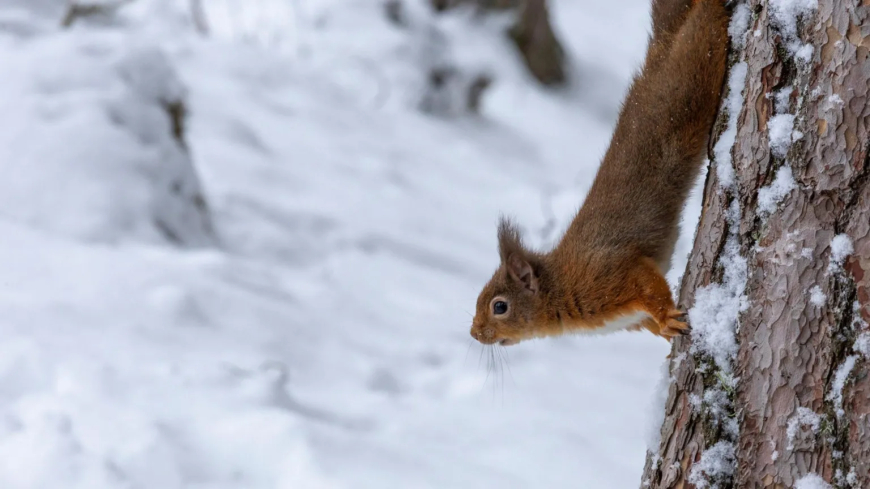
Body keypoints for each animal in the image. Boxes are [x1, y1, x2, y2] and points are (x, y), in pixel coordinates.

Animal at [470, 0, 730, 346]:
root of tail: (660, 51)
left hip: (694, 74)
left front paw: (667, 317)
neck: (561, 286)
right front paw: (665, 330)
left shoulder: (611, 273)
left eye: (499, 306)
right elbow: (650, 319)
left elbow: (648, 284)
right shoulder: (629, 318)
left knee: (706, 26)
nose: (473, 333)